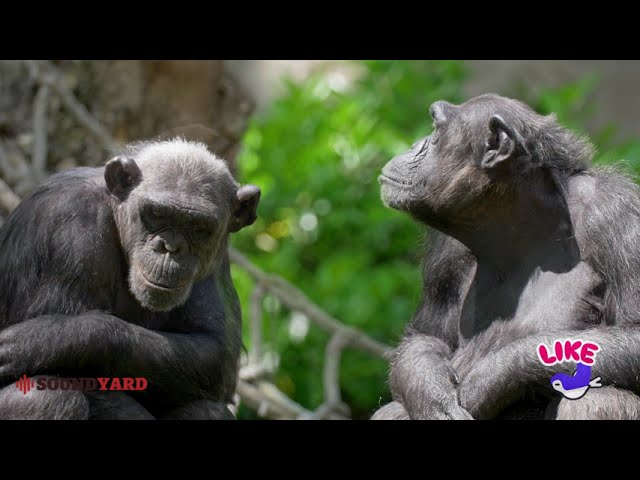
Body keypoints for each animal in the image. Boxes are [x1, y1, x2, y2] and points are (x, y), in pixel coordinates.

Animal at [0, 139, 262, 420]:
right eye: (156, 214)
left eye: (198, 227)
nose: (170, 247)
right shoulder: (70, 228)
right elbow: (67, 377)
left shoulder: (216, 260)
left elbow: (214, 351)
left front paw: (51, 339)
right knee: (47, 398)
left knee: (209, 410)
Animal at [376, 94, 640, 420]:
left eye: (436, 131)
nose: (415, 144)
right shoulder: (445, 254)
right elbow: (427, 336)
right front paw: (433, 398)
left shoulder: (616, 213)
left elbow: (634, 335)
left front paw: (487, 379)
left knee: (599, 400)